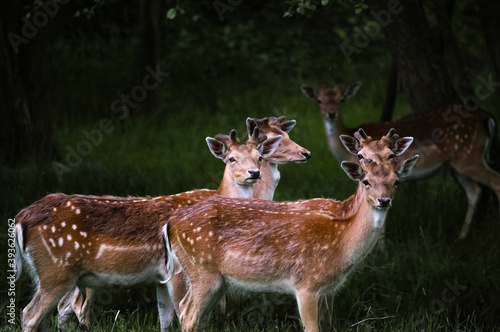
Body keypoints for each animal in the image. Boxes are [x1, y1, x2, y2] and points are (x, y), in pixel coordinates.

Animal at [14, 127, 282, 332]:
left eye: (259, 157)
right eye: (231, 158)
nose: (254, 173)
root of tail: (20, 218)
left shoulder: (160, 278)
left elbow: (165, 320)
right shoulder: (178, 273)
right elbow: (188, 316)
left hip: (54, 274)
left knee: (53, 313)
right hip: (56, 270)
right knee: (32, 313)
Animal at [164, 128, 418, 330]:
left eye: (396, 181)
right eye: (366, 181)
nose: (383, 200)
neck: (342, 241)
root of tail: (171, 223)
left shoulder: (326, 289)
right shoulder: (307, 284)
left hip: (216, 280)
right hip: (202, 271)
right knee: (188, 315)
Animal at [300, 82, 500, 240]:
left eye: (342, 99)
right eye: (319, 100)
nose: (331, 113)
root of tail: (487, 117)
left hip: (469, 156)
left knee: (494, 181)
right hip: (457, 165)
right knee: (474, 191)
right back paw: (460, 237)